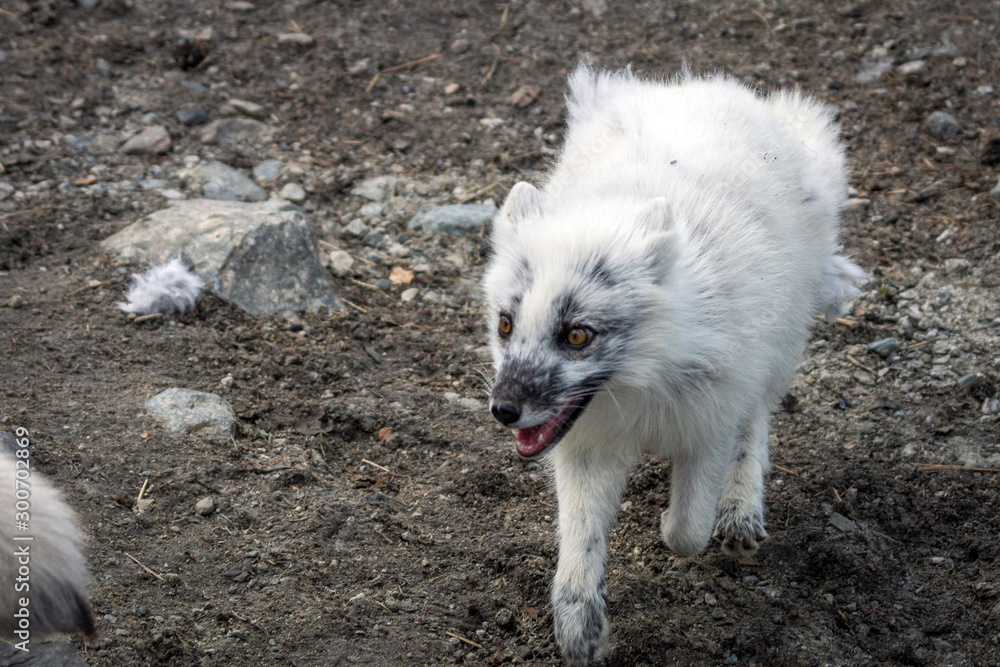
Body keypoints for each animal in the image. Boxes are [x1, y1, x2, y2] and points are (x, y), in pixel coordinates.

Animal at [483, 64, 863, 666]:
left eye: (577, 335)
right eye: (504, 324)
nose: (504, 410)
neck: (642, 388)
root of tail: (708, 85)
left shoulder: (708, 424)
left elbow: (687, 530)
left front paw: (680, 521)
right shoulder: (586, 449)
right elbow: (579, 541)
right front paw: (581, 631)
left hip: (776, 350)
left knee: (756, 421)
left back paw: (741, 509)